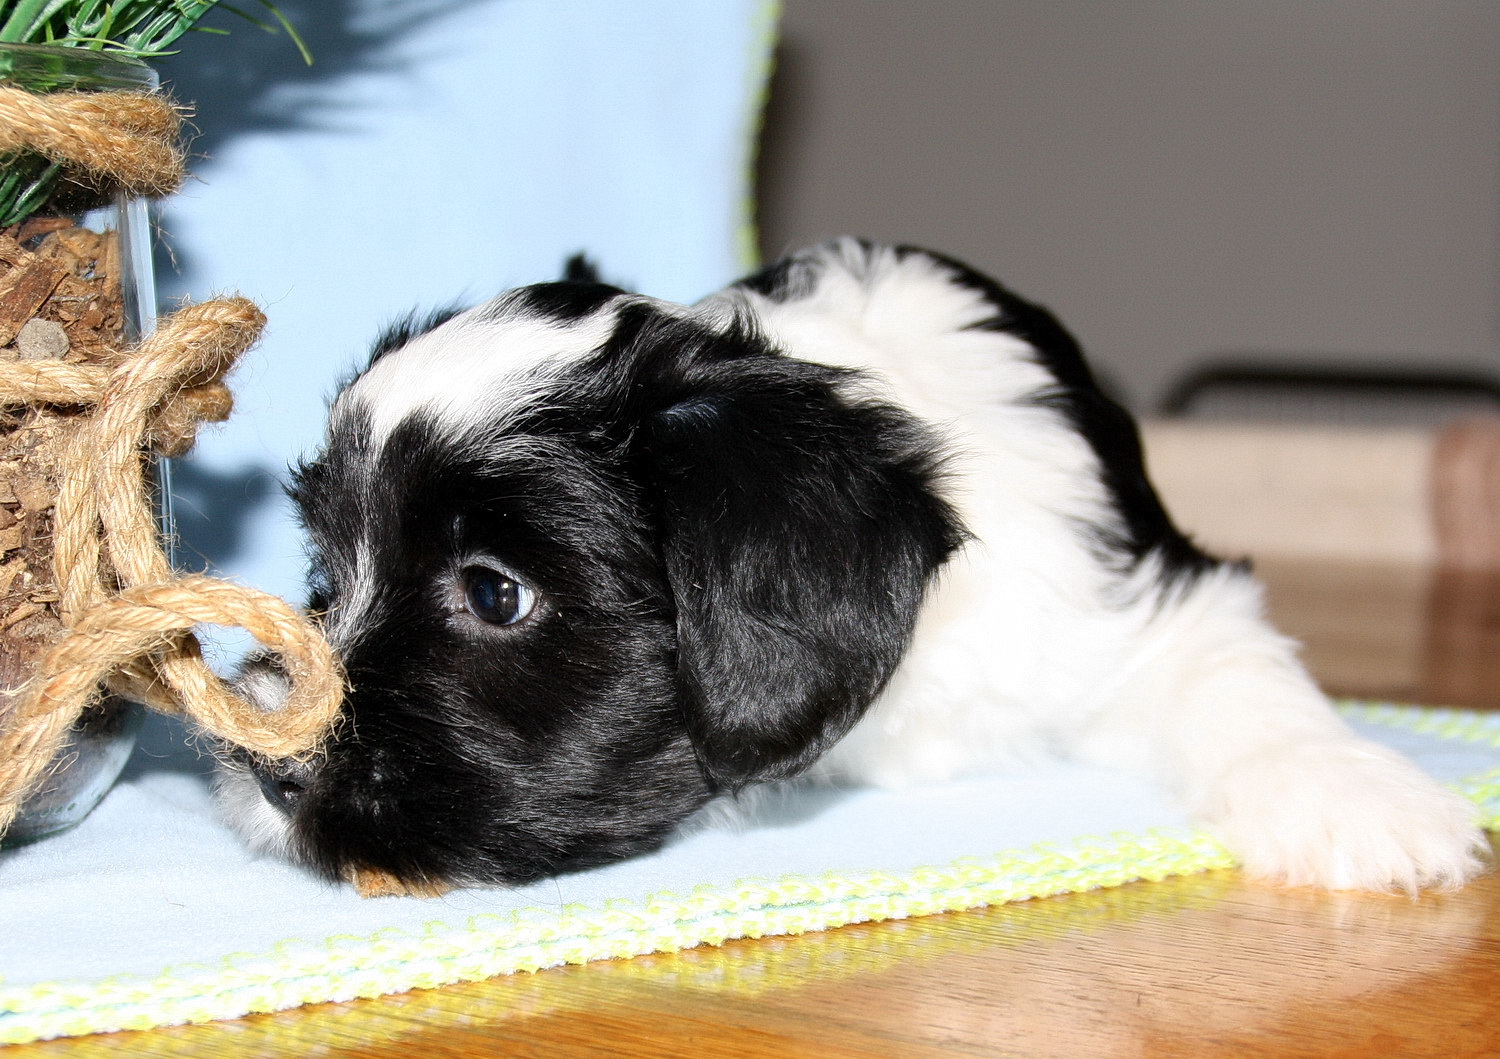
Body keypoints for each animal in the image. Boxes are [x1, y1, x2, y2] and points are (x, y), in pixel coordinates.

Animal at [218, 239, 1486, 895]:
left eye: (495, 592)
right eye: (324, 566)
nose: (267, 768)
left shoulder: (1137, 591)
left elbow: (1239, 673)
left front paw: (1355, 795)